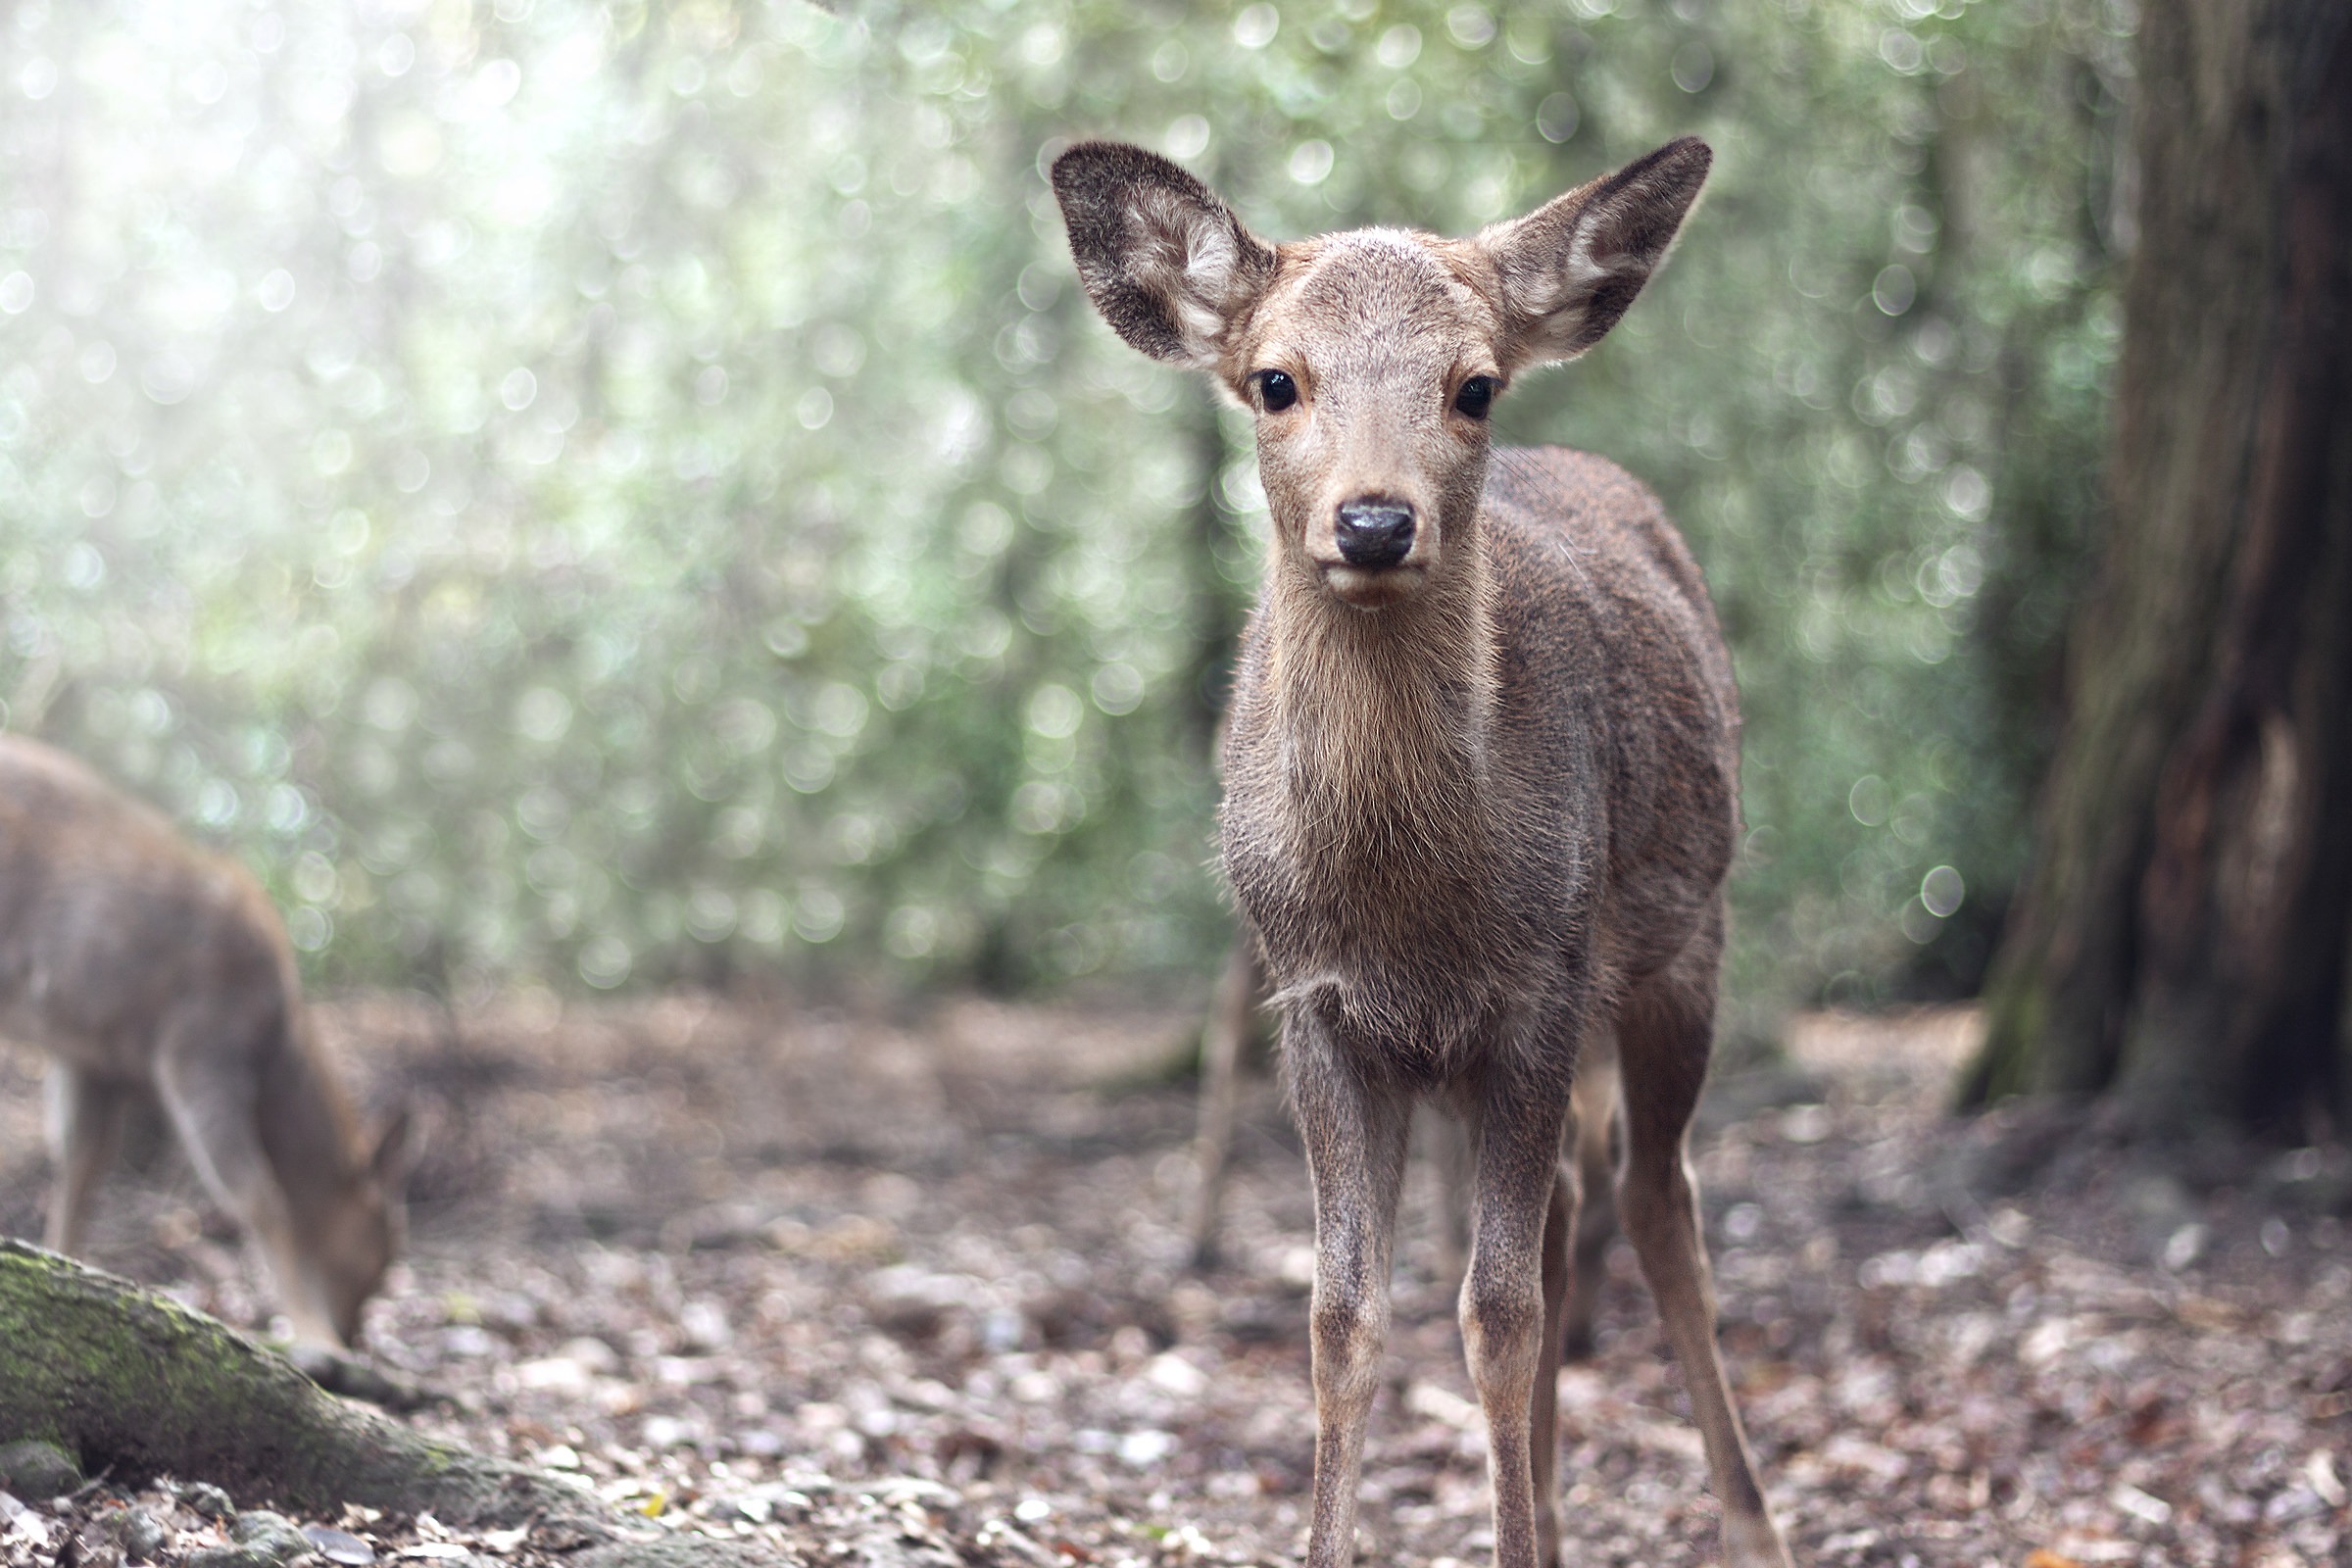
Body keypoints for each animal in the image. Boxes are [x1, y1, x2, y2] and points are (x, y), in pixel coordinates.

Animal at [0, 738, 409, 1353]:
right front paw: (313, 1336)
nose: (355, 1332)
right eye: (384, 1247)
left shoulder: (89, 1059)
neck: (277, 1039)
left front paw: (63, 1264)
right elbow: (260, 1195)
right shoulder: (202, 1049)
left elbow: (82, 1166)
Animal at [1058, 137, 1788, 1568]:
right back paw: (1555, 1512)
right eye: (1276, 379)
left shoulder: (1542, 986)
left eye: (1475, 384)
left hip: (1688, 943)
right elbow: (1343, 1315)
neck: (1410, 900)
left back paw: (1747, 1525)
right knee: (1571, 1215)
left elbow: (1493, 1315)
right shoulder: (1318, 1004)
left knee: (1657, 1203)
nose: (1376, 523)